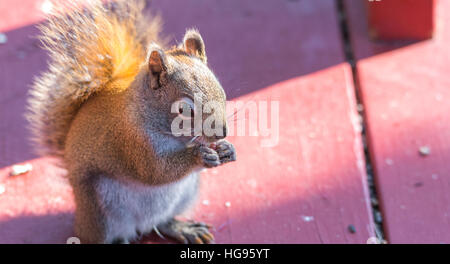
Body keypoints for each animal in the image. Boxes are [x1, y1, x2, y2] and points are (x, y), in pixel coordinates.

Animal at [25, 0, 236, 243]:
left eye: (221, 89)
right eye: (184, 109)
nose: (222, 132)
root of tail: (139, 227)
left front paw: (226, 149)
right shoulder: (132, 143)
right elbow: (157, 171)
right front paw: (199, 156)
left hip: (185, 195)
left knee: (161, 223)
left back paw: (183, 228)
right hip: (100, 212)